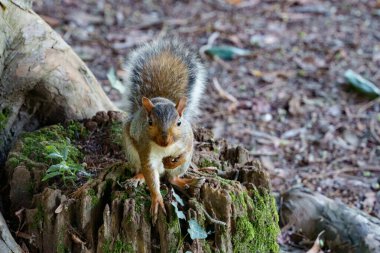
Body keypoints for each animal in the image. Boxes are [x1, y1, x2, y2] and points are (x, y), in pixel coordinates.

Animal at [121, 38, 205, 222]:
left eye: (179, 122)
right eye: (150, 122)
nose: (165, 140)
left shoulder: (187, 140)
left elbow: (185, 154)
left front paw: (174, 161)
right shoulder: (146, 150)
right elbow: (151, 175)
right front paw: (157, 200)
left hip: (181, 168)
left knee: (172, 178)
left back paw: (186, 182)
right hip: (131, 151)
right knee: (145, 171)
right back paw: (138, 177)